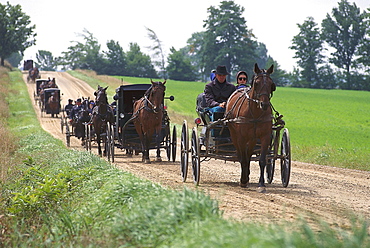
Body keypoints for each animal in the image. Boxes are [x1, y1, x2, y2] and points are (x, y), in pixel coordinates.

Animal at [224, 63, 276, 193]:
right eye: (256, 83)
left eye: (271, 85)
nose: (264, 104)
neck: (256, 114)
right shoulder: (241, 138)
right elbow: (243, 158)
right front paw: (243, 180)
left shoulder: (265, 137)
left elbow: (262, 160)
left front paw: (261, 184)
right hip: (235, 135)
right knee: (241, 155)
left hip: (252, 139)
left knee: (248, 154)